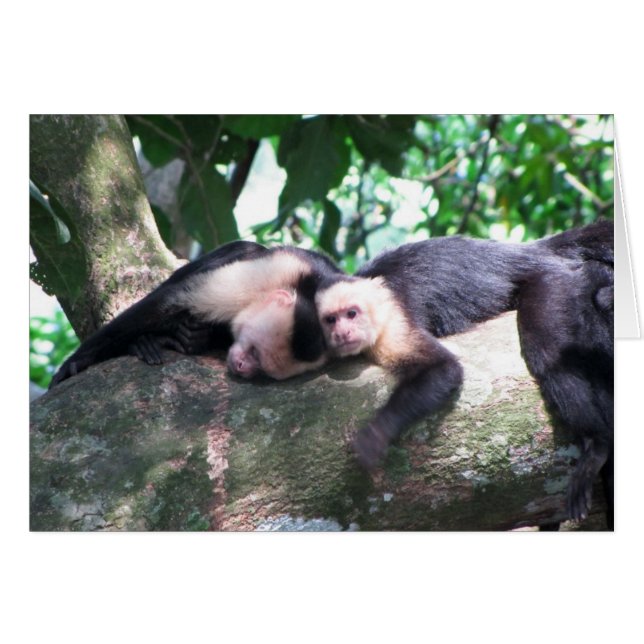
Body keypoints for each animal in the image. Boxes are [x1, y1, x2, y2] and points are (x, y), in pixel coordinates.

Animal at [50, 240, 343, 387]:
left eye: (264, 369)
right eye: (254, 351)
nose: (243, 368)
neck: (306, 290)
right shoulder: (272, 273)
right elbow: (168, 302)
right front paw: (74, 363)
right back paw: (144, 343)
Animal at [313, 221, 613, 526]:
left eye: (351, 314)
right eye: (330, 320)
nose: (342, 333)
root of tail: (531, 251)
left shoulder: (390, 325)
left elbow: (443, 370)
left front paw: (374, 436)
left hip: (555, 282)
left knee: (549, 353)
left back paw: (595, 446)